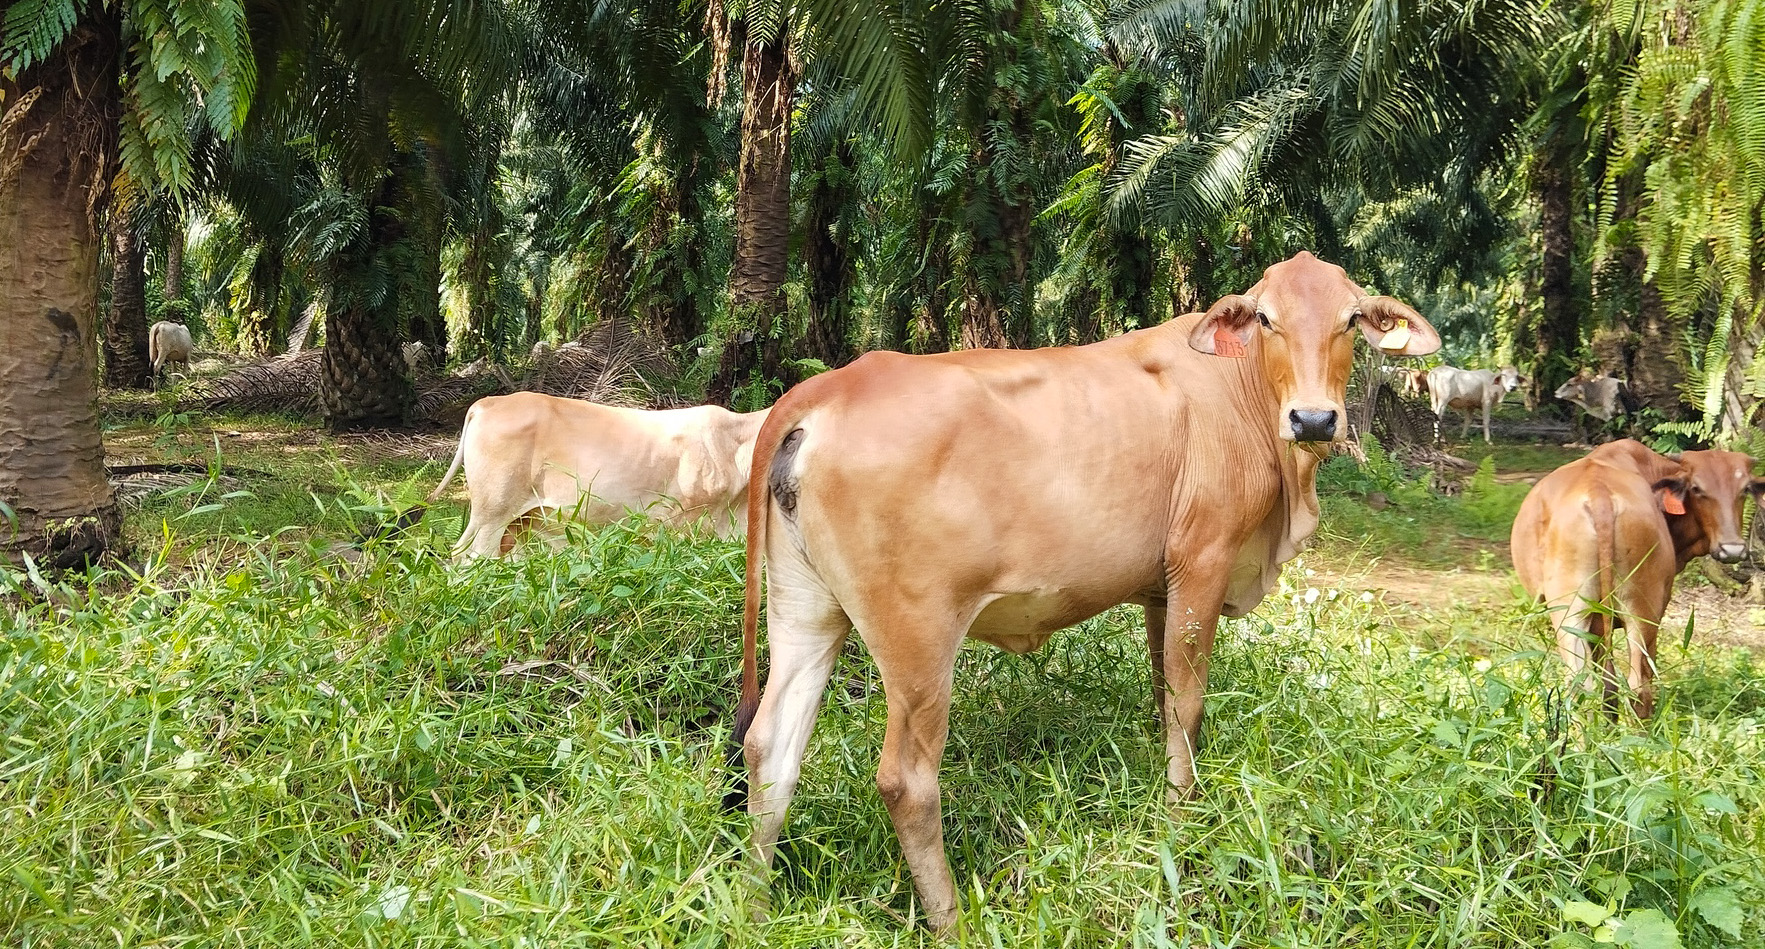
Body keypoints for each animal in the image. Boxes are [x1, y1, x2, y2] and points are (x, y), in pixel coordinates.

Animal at [730, 252, 1441, 932]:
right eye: (1267, 318)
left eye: (1351, 319)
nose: (1315, 419)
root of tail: (832, 383)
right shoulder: (1203, 564)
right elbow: (1187, 705)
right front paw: (1182, 822)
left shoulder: (1162, 590)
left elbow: (1162, 695)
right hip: (918, 643)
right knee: (906, 781)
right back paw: (950, 919)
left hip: (807, 612)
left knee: (770, 749)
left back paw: (757, 908)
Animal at [1511, 439, 1762, 718]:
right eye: (1697, 488)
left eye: (1745, 489)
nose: (1732, 549)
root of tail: (1599, 495)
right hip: (1632, 613)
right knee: (1629, 687)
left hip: (1580, 613)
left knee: (1596, 687)